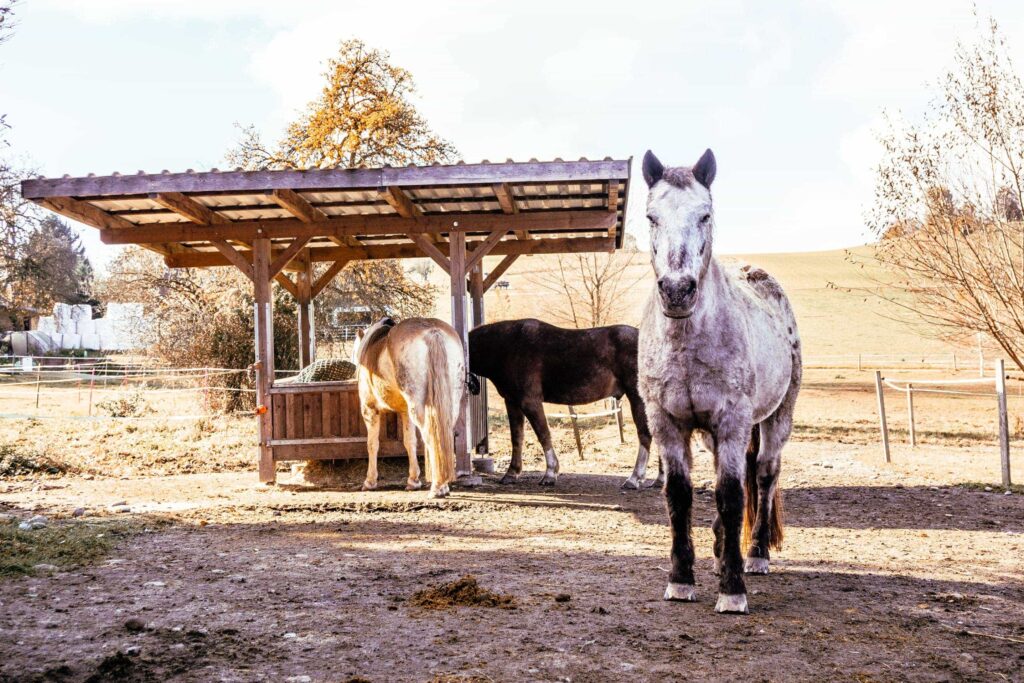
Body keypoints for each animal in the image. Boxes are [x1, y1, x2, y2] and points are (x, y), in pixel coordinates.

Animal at [351, 317, 466, 498]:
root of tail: (432, 332)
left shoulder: (369, 410)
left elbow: (372, 444)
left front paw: (370, 481)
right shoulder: (405, 412)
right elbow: (409, 442)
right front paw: (413, 480)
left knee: (430, 437)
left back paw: (437, 487)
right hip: (449, 404)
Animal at [468, 319, 659, 488]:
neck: (507, 346)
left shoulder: (530, 401)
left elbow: (543, 434)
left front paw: (550, 474)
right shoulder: (512, 402)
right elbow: (517, 438)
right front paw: (511, 473)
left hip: (638, 398)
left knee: (645, 434)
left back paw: (634, 479)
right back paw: (658, 481)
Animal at [637, 149, 802, 614]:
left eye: (705, 214)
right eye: (652, 216)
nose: (677, 291)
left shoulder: (731, 421)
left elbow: (731, 496)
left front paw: (732, 589)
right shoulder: (666, 423)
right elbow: (679, 495)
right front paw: (681, 580)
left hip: (777, 418)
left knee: (763, 476)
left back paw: (756, 555)